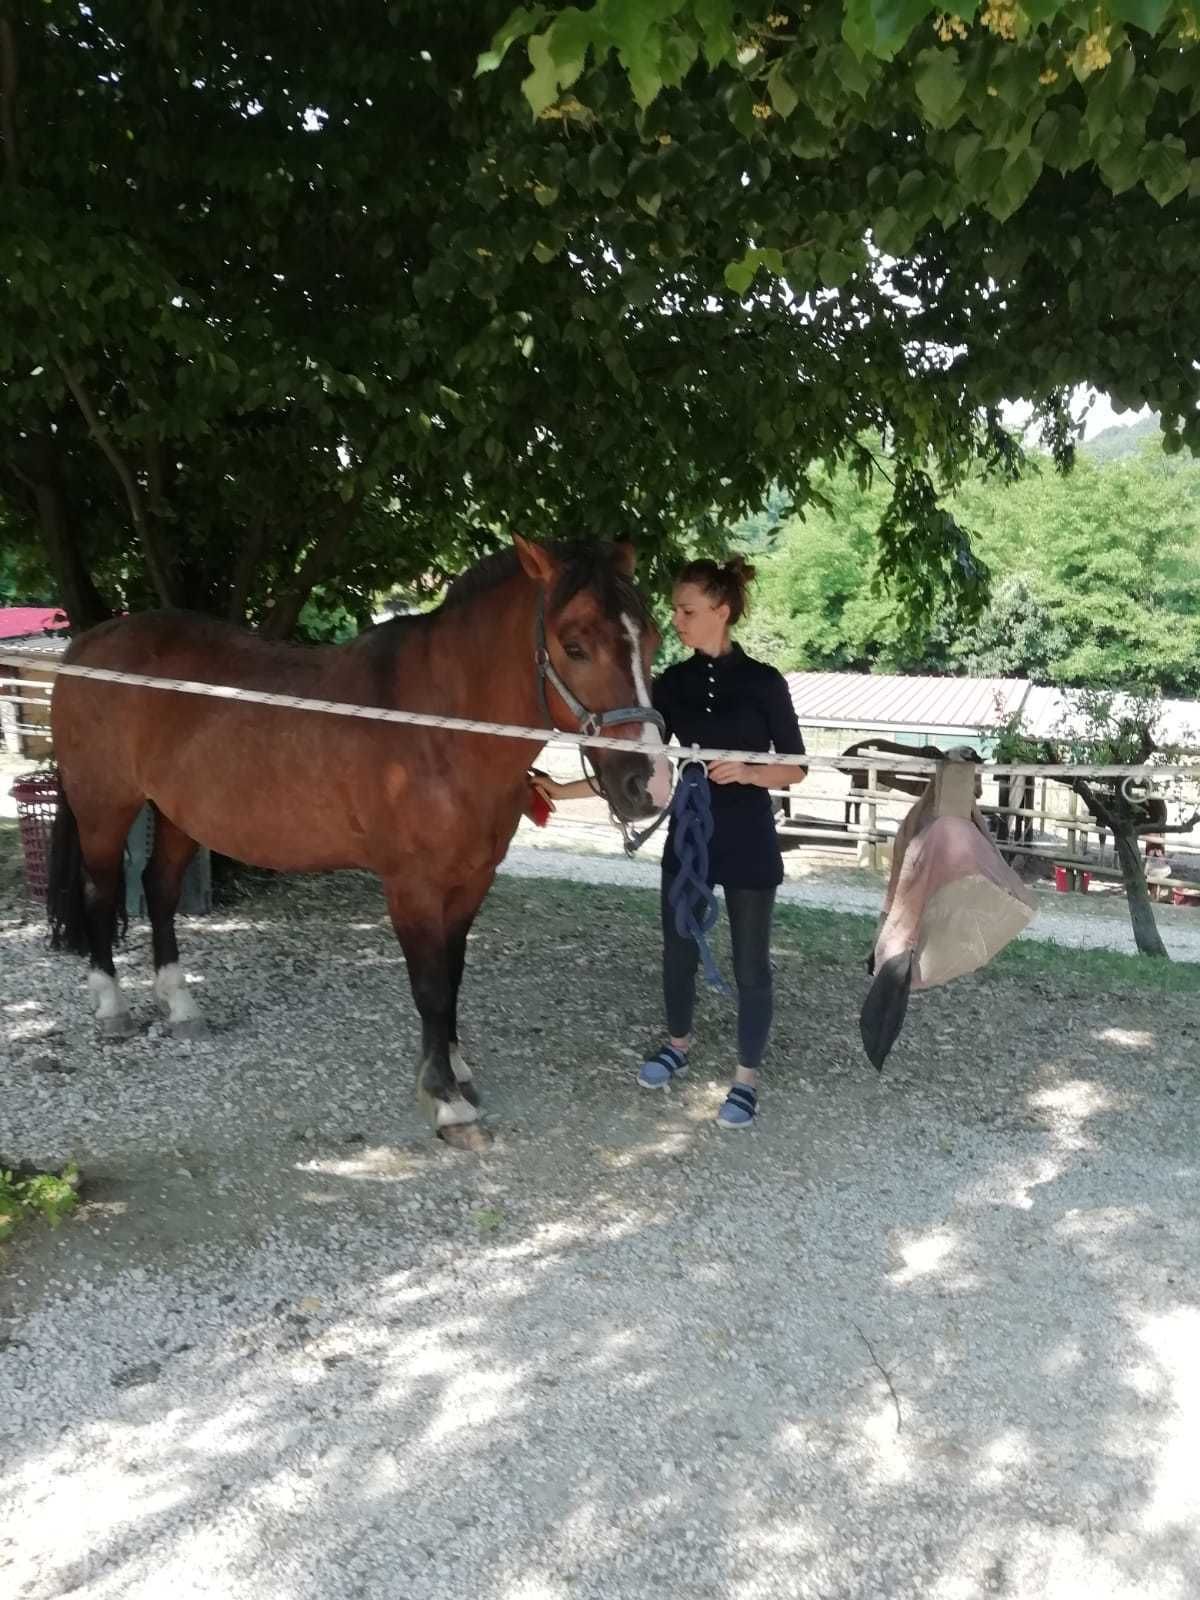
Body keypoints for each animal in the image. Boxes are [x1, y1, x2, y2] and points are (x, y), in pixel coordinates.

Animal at [46, 534, 670, 1151]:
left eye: (652, 639)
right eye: (574, 646)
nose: (650, 785)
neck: (438, 730)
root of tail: (85, 646)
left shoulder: (471, 881)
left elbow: (454, 975)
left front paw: (455, 1069)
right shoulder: (411, 887)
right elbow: (431, 988)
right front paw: (447, 1102)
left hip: (178, 816)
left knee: (159, 891)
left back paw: (180, 1007)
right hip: (104, 807)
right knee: (101, 893)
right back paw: (111, 1008)